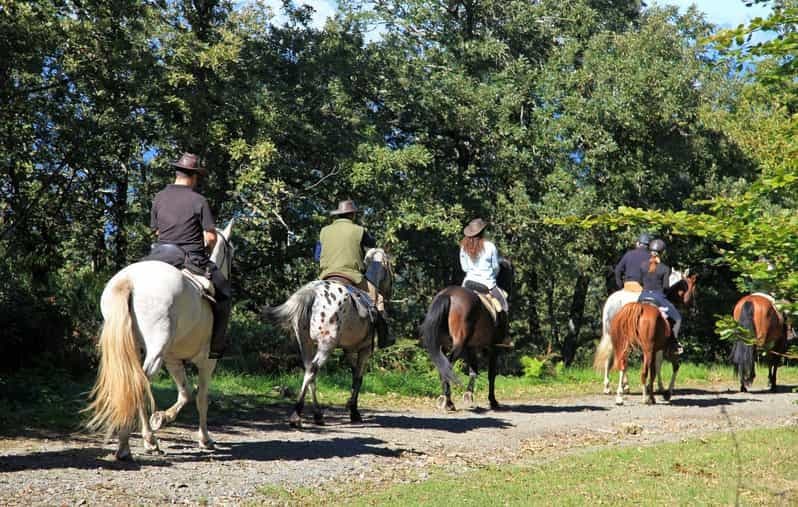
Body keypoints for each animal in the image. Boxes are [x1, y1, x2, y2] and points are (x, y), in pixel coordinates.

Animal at [84, 220, 234, 461]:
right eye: (231, 252)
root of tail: (129, 280)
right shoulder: (207, 361)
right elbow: (201, 398)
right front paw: (205, 439)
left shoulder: (172, 359)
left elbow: (185, 392)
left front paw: (162, 418)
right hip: (156, 353)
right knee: (139, 385)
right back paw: (130, 444)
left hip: (140, 351)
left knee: (136, 386)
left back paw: (145, 440)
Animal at [264, 248, 393, 427]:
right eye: (390, 269)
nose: (389, 292)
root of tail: (311, 291)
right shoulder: (364, 349)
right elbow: (358, 378)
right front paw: (354, 412)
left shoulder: (348, 350)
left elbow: (354, 375)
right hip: (326, 345)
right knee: (313, 369)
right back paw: (297, 414)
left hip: (306, 343)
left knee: (309, 371)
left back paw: (317, 414)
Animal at [420, 259, 514, 411]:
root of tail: (448, 295)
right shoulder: (494, 347)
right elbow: (491, 374)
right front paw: (493, 401)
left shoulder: (470, 347)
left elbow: (474, 371)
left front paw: (469, 395)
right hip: (458, 345)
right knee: (447, 365)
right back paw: (448, 402)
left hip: (445, 345)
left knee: (442, 365)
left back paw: (446, 400)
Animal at [598, 269, 697, 398]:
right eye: (692, 287)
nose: (693, 306)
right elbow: (658, 363)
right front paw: (659, 386)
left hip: (612, 335)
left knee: (613, 357)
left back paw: (611, 387)